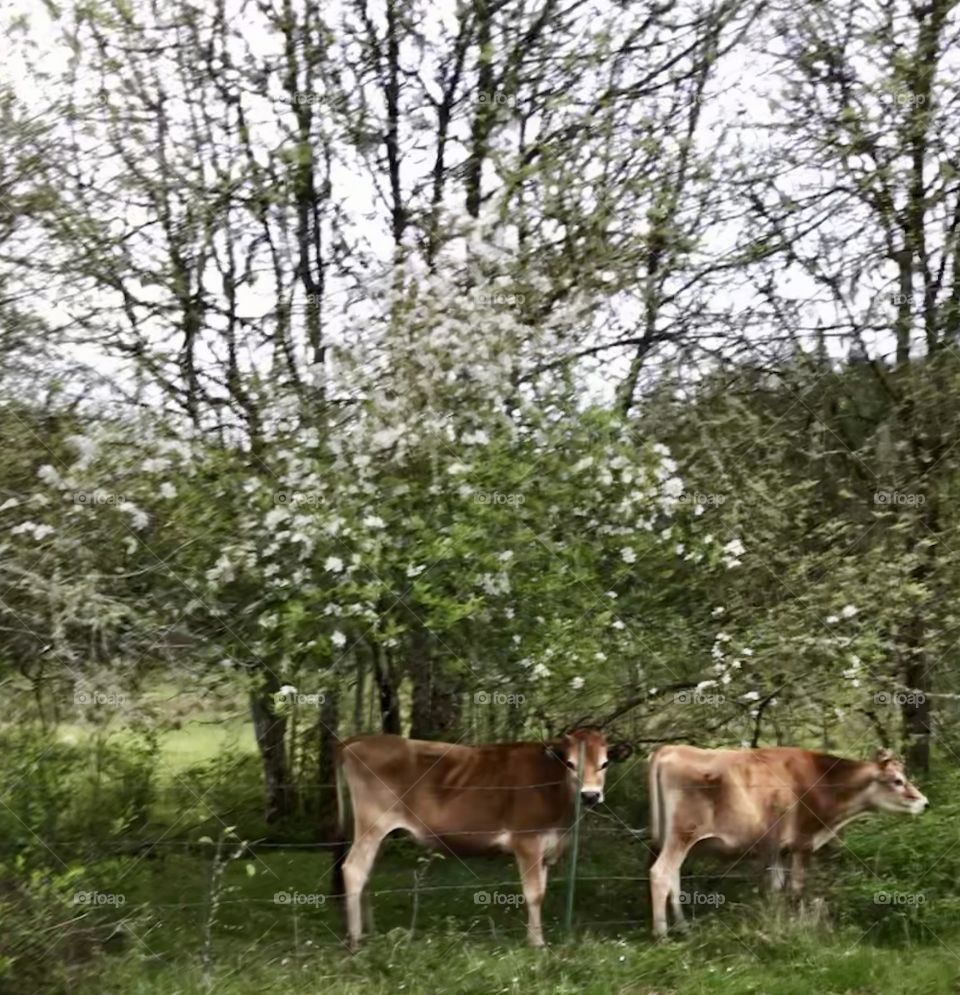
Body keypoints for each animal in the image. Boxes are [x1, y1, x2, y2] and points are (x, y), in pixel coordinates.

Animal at [330, 729, 632, 948]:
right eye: (570, 764)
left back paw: (370, 932)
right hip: (372, 826)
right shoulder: (528, 842)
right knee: (354, 870)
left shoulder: (547, 848)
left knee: (366, 873)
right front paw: (537, 943)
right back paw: (356, 941)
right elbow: (534, 894)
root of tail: (359, 740)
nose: (590, 795)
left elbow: (542, 892)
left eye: (605, 763)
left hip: (379, 833)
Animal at [648, 745, 928, 938]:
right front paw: (796, 924)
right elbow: (795, 889)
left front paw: (776, 921)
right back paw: (662, 936)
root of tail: (670, 748)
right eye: (898, 781)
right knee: (660, 873)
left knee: (674, 876)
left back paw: (684, 928)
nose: (924, 802)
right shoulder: (802, 843)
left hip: (673, 839)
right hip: (681, 835)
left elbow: (776, 888)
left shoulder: (776, 849)